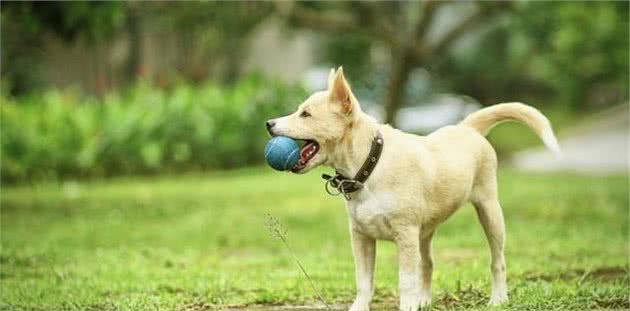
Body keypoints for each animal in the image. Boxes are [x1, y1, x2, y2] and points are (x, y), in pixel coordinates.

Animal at [264, 67, 560, 310]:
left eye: (306, 114)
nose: (268, 124)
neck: (370, 165)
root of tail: (467, 128)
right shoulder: (361, 237)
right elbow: (364, 282)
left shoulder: (405, 234)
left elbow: (405, 280)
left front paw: (407, 305)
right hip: (425, 233)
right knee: (427, 264)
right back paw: (424, 300)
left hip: (489, 211)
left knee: (497, 259)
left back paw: (498, 298)